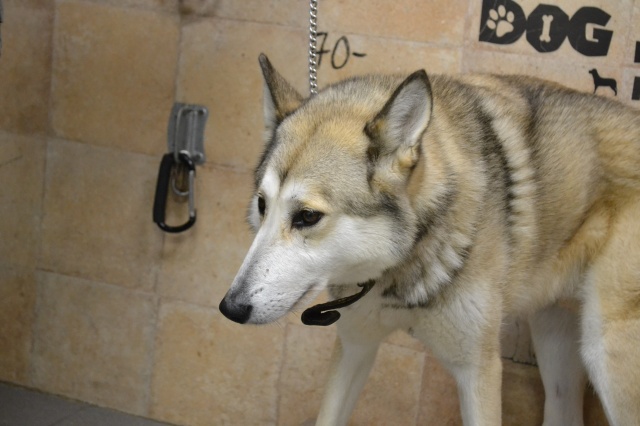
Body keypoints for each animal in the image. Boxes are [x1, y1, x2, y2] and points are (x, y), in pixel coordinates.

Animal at [219, 54, 640, 426]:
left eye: (307, 217)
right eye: (262, 204)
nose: (230, 308)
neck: (398, 275)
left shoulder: (478, 371)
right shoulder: (355, 347)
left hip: (606, 355)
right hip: (556, 345)